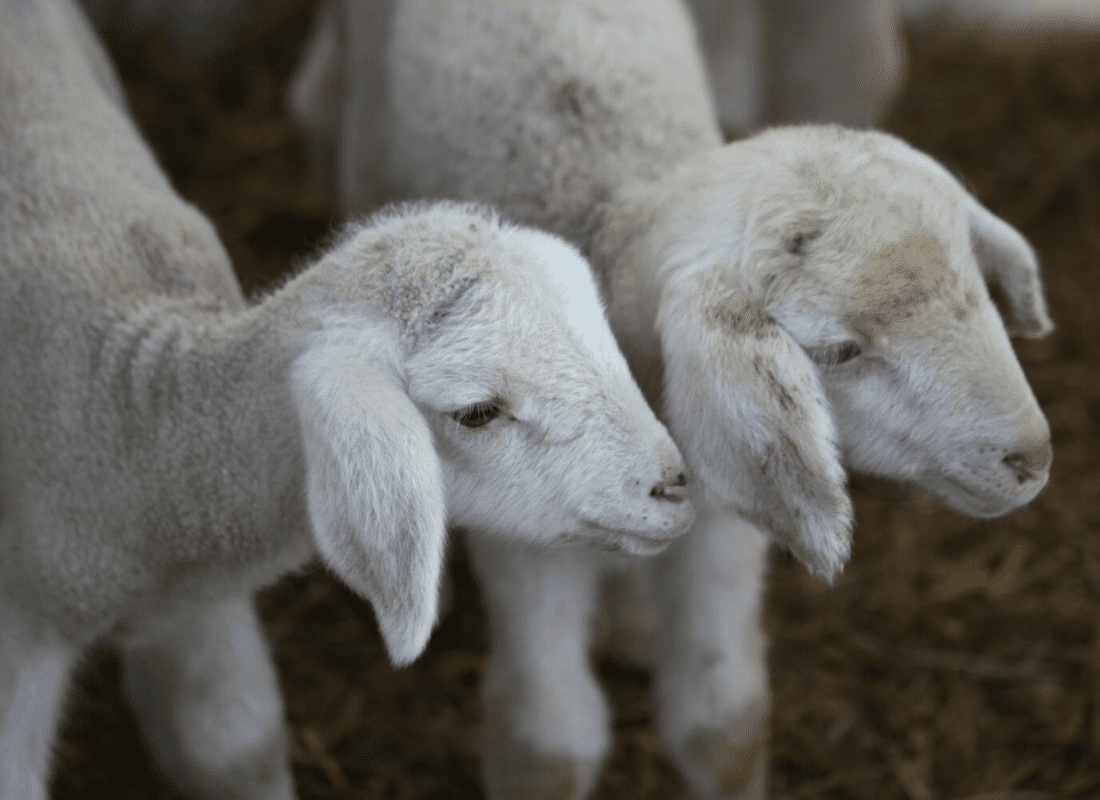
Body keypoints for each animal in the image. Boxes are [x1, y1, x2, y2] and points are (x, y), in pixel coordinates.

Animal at [0, 2, 698, 799]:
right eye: (477, 412)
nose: (675, 485)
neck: (126, 417)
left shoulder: (197, 602)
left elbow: (235, 744)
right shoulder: (20, 637)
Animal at [287, 1, 1054, 798]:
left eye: (979, 284)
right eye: (839, 351)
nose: (1032, 459)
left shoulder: (725, 503)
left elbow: (722, 724)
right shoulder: (525, 526)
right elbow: (549, 746)